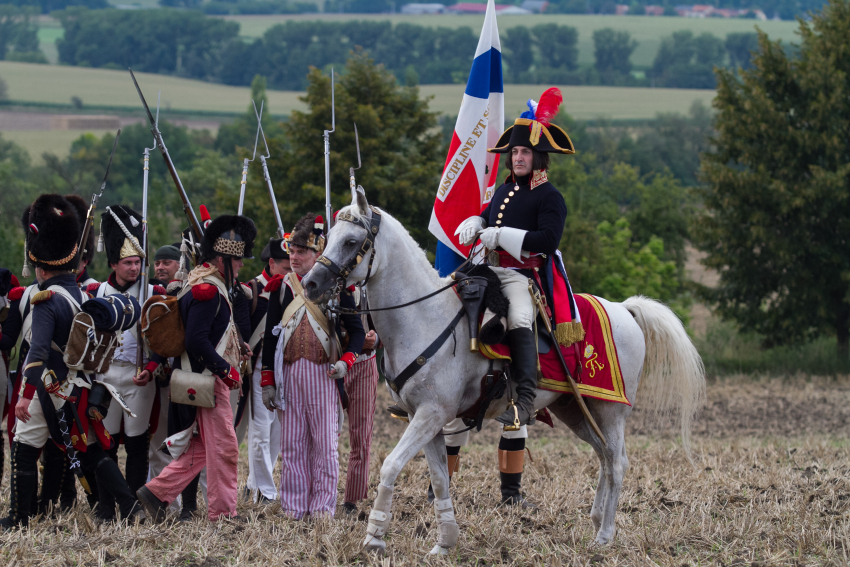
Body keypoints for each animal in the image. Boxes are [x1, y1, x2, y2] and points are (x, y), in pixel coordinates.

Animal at [302, 193, 704, 556]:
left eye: (351, 241)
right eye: (331, 235)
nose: (310, 284)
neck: (424, 315)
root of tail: (624, 309)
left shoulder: (431, 415)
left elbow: (389, 467)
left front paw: (374, 538)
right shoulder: (427, 418)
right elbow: (440, 479)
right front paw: (445, 542)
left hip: (609, 410)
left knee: (617, 462)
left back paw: (605, 536)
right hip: (576, 410)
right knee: (605, 456)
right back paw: (595, 521)